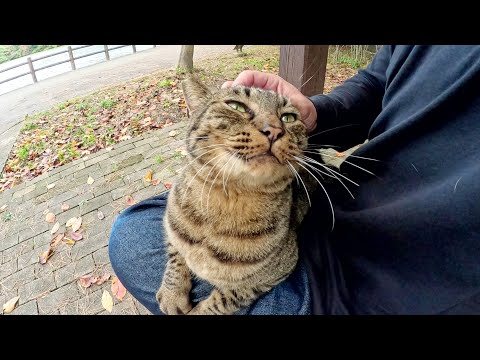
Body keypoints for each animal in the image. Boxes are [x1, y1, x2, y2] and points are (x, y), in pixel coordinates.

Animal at [156, 76, 316, 316]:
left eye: (288, 117)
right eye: (236, 106)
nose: (274, 130)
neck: (225, 201)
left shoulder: (273, 274)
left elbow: (223, 300)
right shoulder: (170, 224)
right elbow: (176, 254)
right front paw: (172, 293)